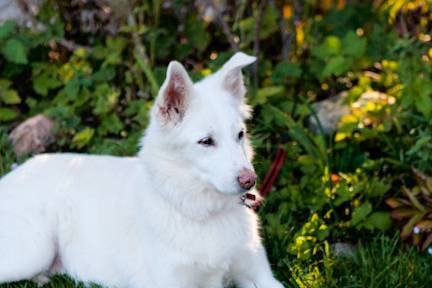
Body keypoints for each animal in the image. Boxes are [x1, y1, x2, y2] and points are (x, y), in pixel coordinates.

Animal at [0, 52, 284, 288]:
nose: (250, 180)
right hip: (34, 250)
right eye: (206, 141)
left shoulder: (261, 276)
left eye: (240, 135)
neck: (200, 210)